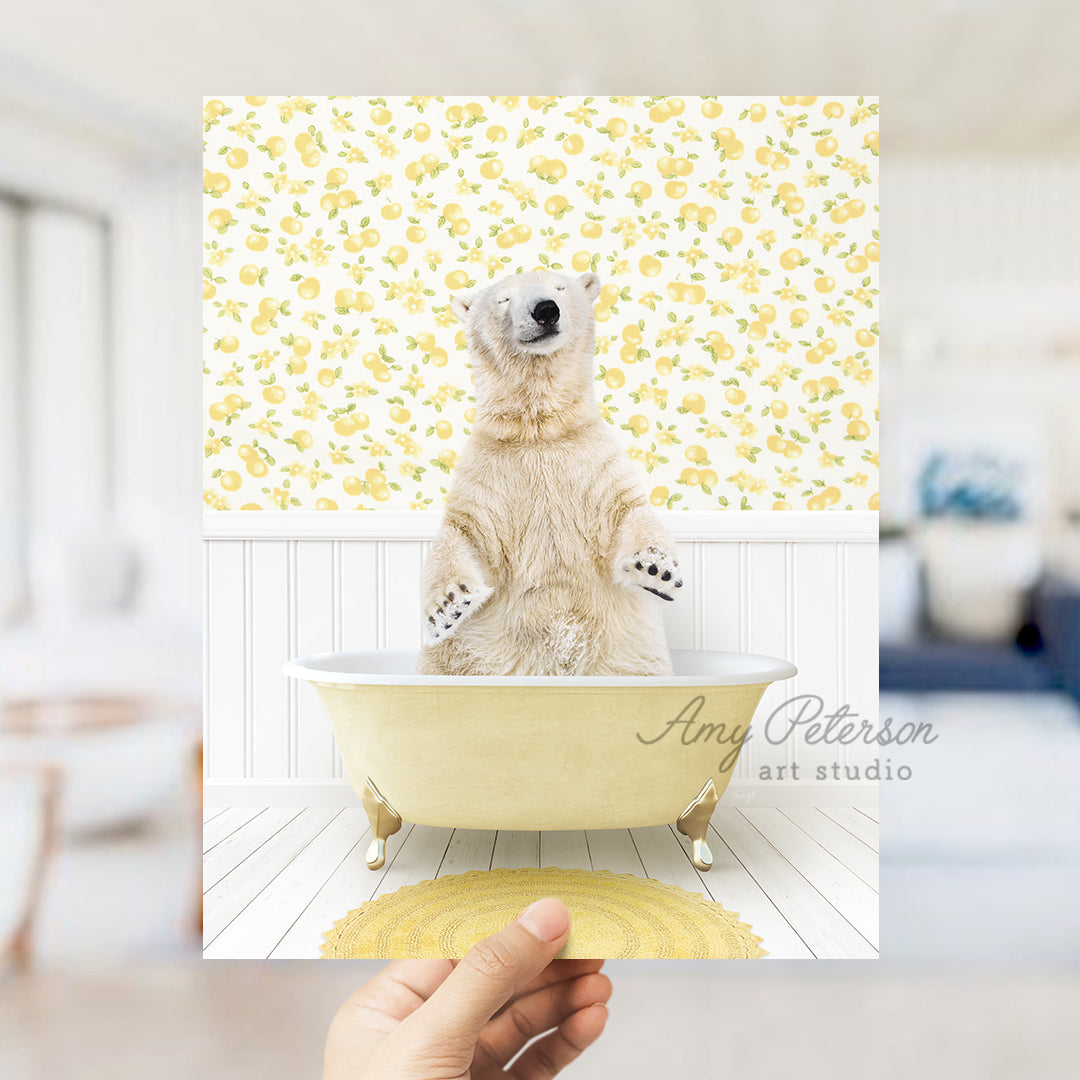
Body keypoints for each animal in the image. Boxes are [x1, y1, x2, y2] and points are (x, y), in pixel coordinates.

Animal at [414, 267, 682, 673]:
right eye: (504, 298)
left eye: (559, 287)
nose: (545, 310)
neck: (539, 427)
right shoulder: (490, 473)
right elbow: (463, 533)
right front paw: (449, 605)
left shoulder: (592, 460)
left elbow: (628, 511)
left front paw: (654, 567)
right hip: (456, 661)